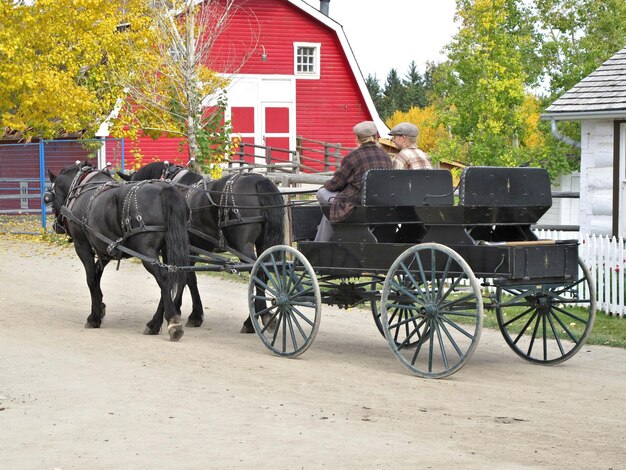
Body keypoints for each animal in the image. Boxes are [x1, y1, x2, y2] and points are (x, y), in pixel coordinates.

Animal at [46, 161, 189, 338]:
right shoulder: (105, 249)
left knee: (163, 278)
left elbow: (90, 279)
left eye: (50, 198)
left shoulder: (82, 246)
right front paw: (100, 308)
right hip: (169, 249)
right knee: (172, 275)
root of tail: (165, 190)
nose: (56, 226)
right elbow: (97, 276)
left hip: (146, 252)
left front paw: (94, 317)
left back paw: (172, 321)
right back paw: (154, 323)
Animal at [118, 163, 284, 332]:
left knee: (258, 274)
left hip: (243, 246)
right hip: (262, 244)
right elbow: (188, 278)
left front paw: (169, 316)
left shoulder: (173, 250)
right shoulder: (189, 250)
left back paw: (251, 321)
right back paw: (263, 316)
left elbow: (179, 277)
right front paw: (190, 313)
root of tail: (259, 181)